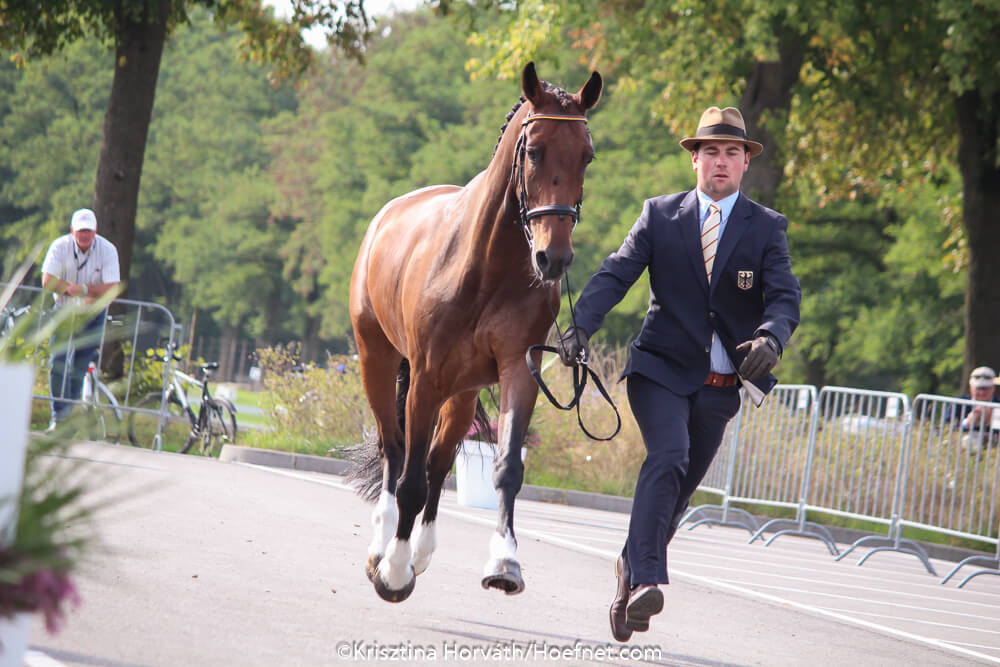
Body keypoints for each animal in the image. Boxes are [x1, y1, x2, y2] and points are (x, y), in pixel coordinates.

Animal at [348, 62, 602, 603]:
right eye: (534, 150)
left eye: (586, 156)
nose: (554, 258)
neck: (488, 266)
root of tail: (387, 216)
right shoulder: (424, 379)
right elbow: (409, 479)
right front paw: (394, 570)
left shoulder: (518, 372)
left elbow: (505, 469)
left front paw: (505, 563)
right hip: (378, 362)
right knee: (393, 451)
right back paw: (383, 549)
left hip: (461, 392)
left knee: (439, 462)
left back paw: (421, 550)